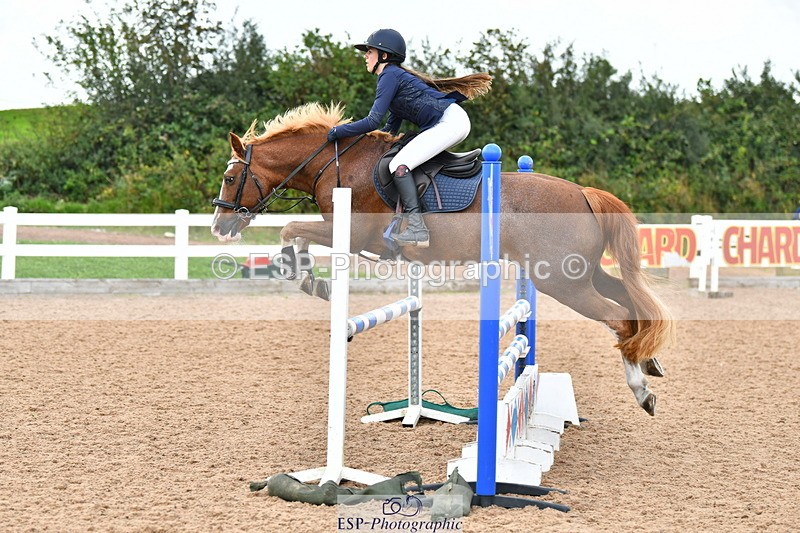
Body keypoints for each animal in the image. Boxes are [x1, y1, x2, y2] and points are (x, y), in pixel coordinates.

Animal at [210, 102, 674, 416]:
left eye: (231, 178)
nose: (219, 226)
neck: (336, 163)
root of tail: (583, 193)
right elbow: (295, 233)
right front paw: (311, 277)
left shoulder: (356, 234)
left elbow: (291, 231)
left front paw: (308, 277)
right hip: (581, 273)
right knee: (630, 302)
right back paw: (649, 360)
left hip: (562, 281)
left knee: (619, 319)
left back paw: (641, 389)